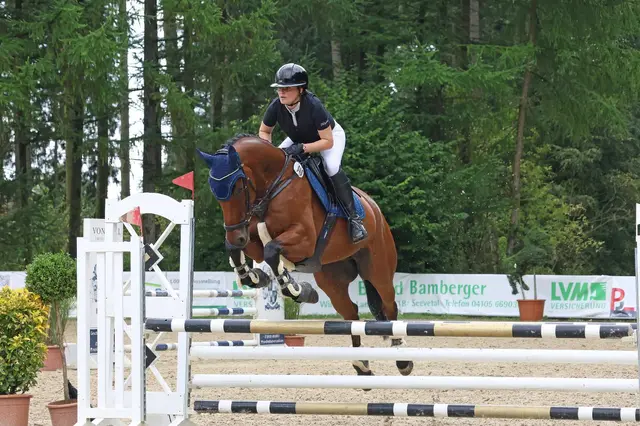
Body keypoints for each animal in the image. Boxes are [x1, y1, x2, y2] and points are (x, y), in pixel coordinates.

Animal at [196, 133, 413, 377]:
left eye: (237, 188)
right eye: (215, 192)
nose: (237, 237)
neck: (273, 185)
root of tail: (374, 208)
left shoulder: (305, 240)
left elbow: (272, 251)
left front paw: (294, 289)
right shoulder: (253, 236)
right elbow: (243, 251)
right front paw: (258, 277)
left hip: (378, 269)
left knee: (389, 305)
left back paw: (401, 357)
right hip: (332, 278)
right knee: (351, 313)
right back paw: (362, 365)